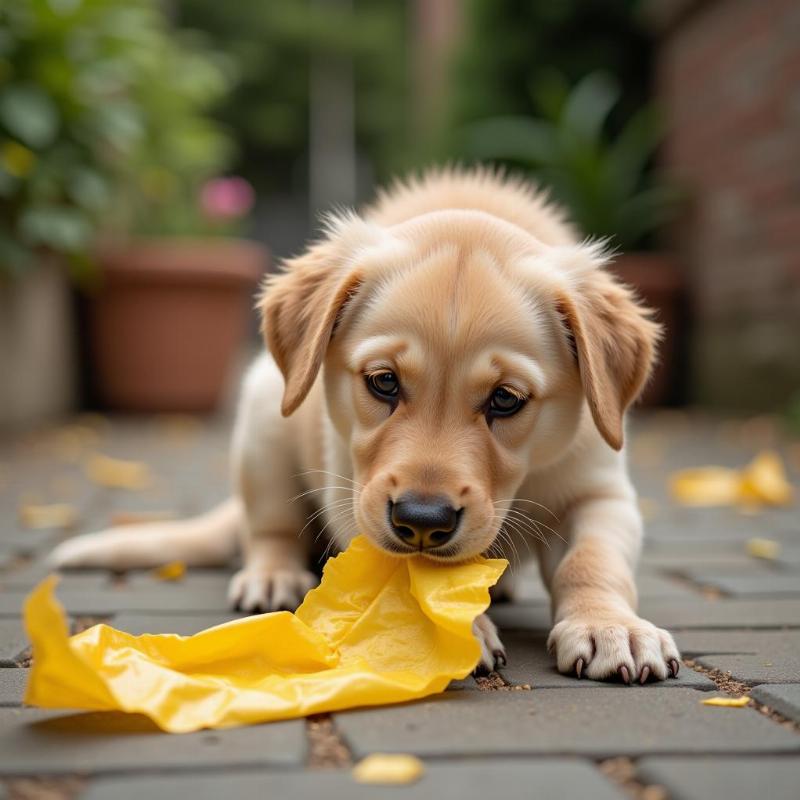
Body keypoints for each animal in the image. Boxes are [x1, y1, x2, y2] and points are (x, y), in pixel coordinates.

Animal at [50, 167, 680, 680]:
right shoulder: (354, 488)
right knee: (268, 527)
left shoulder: (600, 488)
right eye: (383, 382)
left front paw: (611, 626)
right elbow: (402, 572)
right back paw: (273, 576)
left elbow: (591, 560)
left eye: (506, 400)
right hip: (263, 415)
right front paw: (442, 630)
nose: (422, 520)